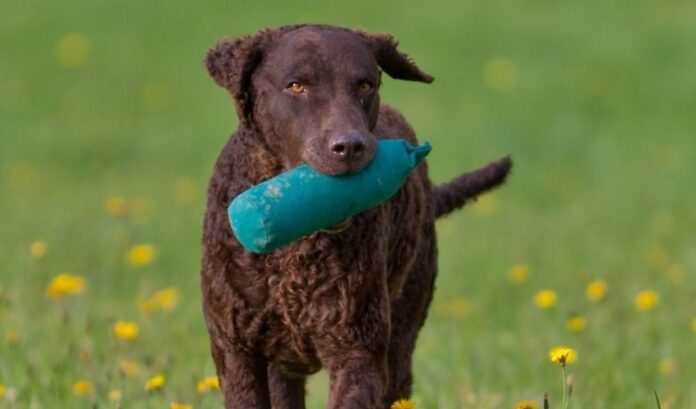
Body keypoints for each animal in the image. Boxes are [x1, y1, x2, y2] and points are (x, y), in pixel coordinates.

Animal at [201, 23, 512, 406]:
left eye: (365, 85)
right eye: (296, 85)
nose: (350, 146)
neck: (292, 258)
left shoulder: (357, 349)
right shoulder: (237, 352)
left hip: (402, 330)